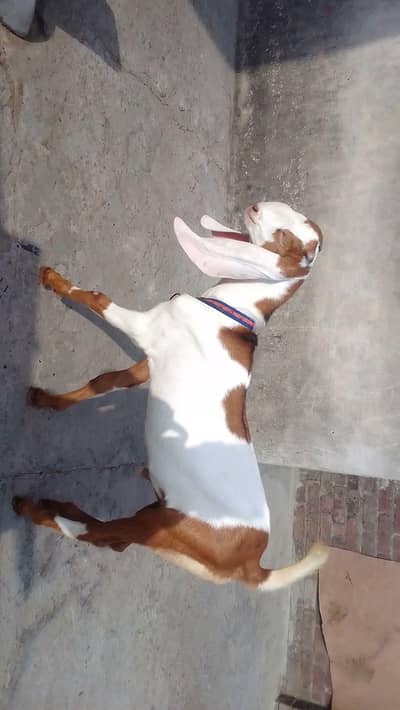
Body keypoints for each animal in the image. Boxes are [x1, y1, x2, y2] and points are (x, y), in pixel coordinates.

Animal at [13, 201, 328, 590]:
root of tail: (251, 566)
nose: (255, 206)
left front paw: (53, 280)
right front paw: (48, 401)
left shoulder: (146, 329)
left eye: (285, 238)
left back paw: (33, 510)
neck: (233, 313)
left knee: (98, 534)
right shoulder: (150, 362)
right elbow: (107, 381)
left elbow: (97, 298)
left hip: (161, 526)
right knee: (116, 539)